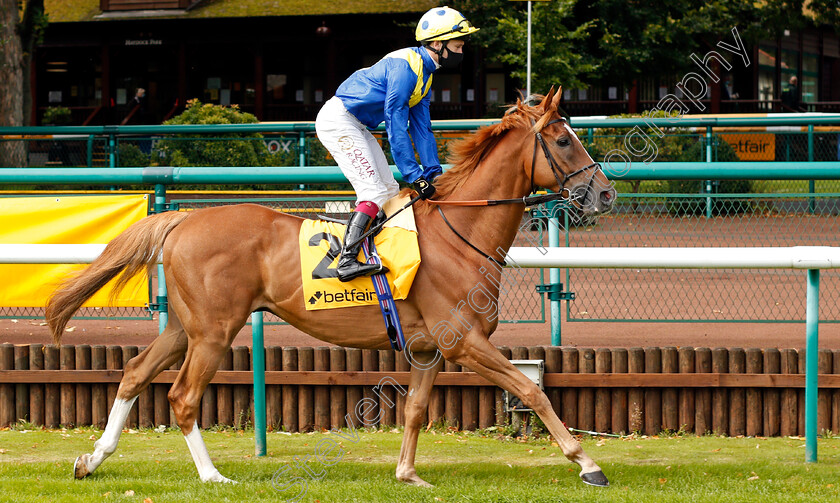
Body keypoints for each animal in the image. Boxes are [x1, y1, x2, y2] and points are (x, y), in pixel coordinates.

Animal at [47, 89, 616, 488]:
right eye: (563, 140)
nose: (606, 194)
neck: (461, 231)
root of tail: (183, 220)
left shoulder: (430, 349)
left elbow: (415, 409)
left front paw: (408, 474)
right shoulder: (463, 341)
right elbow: (530, 390)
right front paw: (587, 464)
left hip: (187, 328)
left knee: (135, 373)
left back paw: (92, 460)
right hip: (213, 331)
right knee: (183, 396)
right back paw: (212, 476)